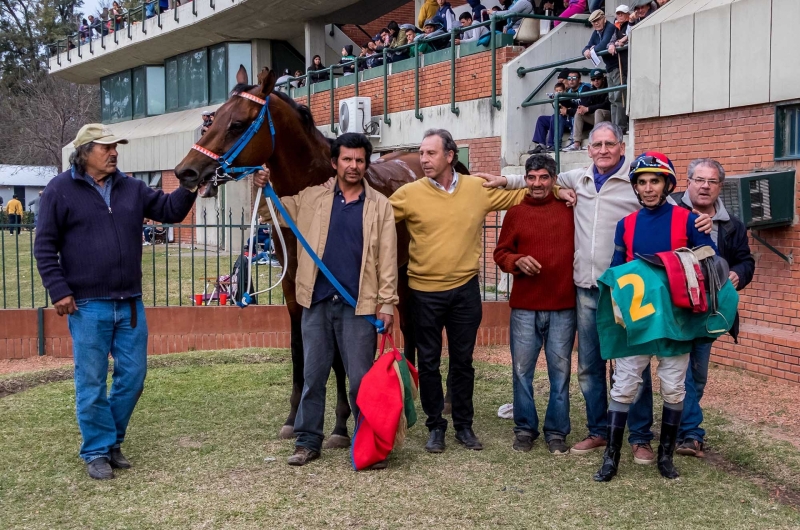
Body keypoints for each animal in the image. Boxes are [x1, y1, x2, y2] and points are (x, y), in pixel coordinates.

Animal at [175, 66, 462, 444]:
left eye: (236, 123)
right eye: (211, 120)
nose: (186, 171)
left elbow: (338, 355)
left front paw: (341, 424)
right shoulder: (295, 285)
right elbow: (300, 348)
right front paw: (293, 418)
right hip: (399, 270)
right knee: (409, 327)